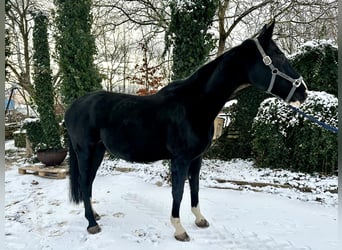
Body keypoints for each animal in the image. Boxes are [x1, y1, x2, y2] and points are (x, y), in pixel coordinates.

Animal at [63, 21, 308, 240]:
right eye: (278, 56)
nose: (303, 92)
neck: (194, 104)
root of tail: (72, 107)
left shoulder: (196, 158)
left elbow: (195, 188)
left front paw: (200, 220)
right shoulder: (180, 159)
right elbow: (178, 191)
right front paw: (179, 230)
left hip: (98, 151)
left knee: (88, 182)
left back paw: (94, 215)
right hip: (85, 151)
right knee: (84, 182)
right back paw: (92, 224)